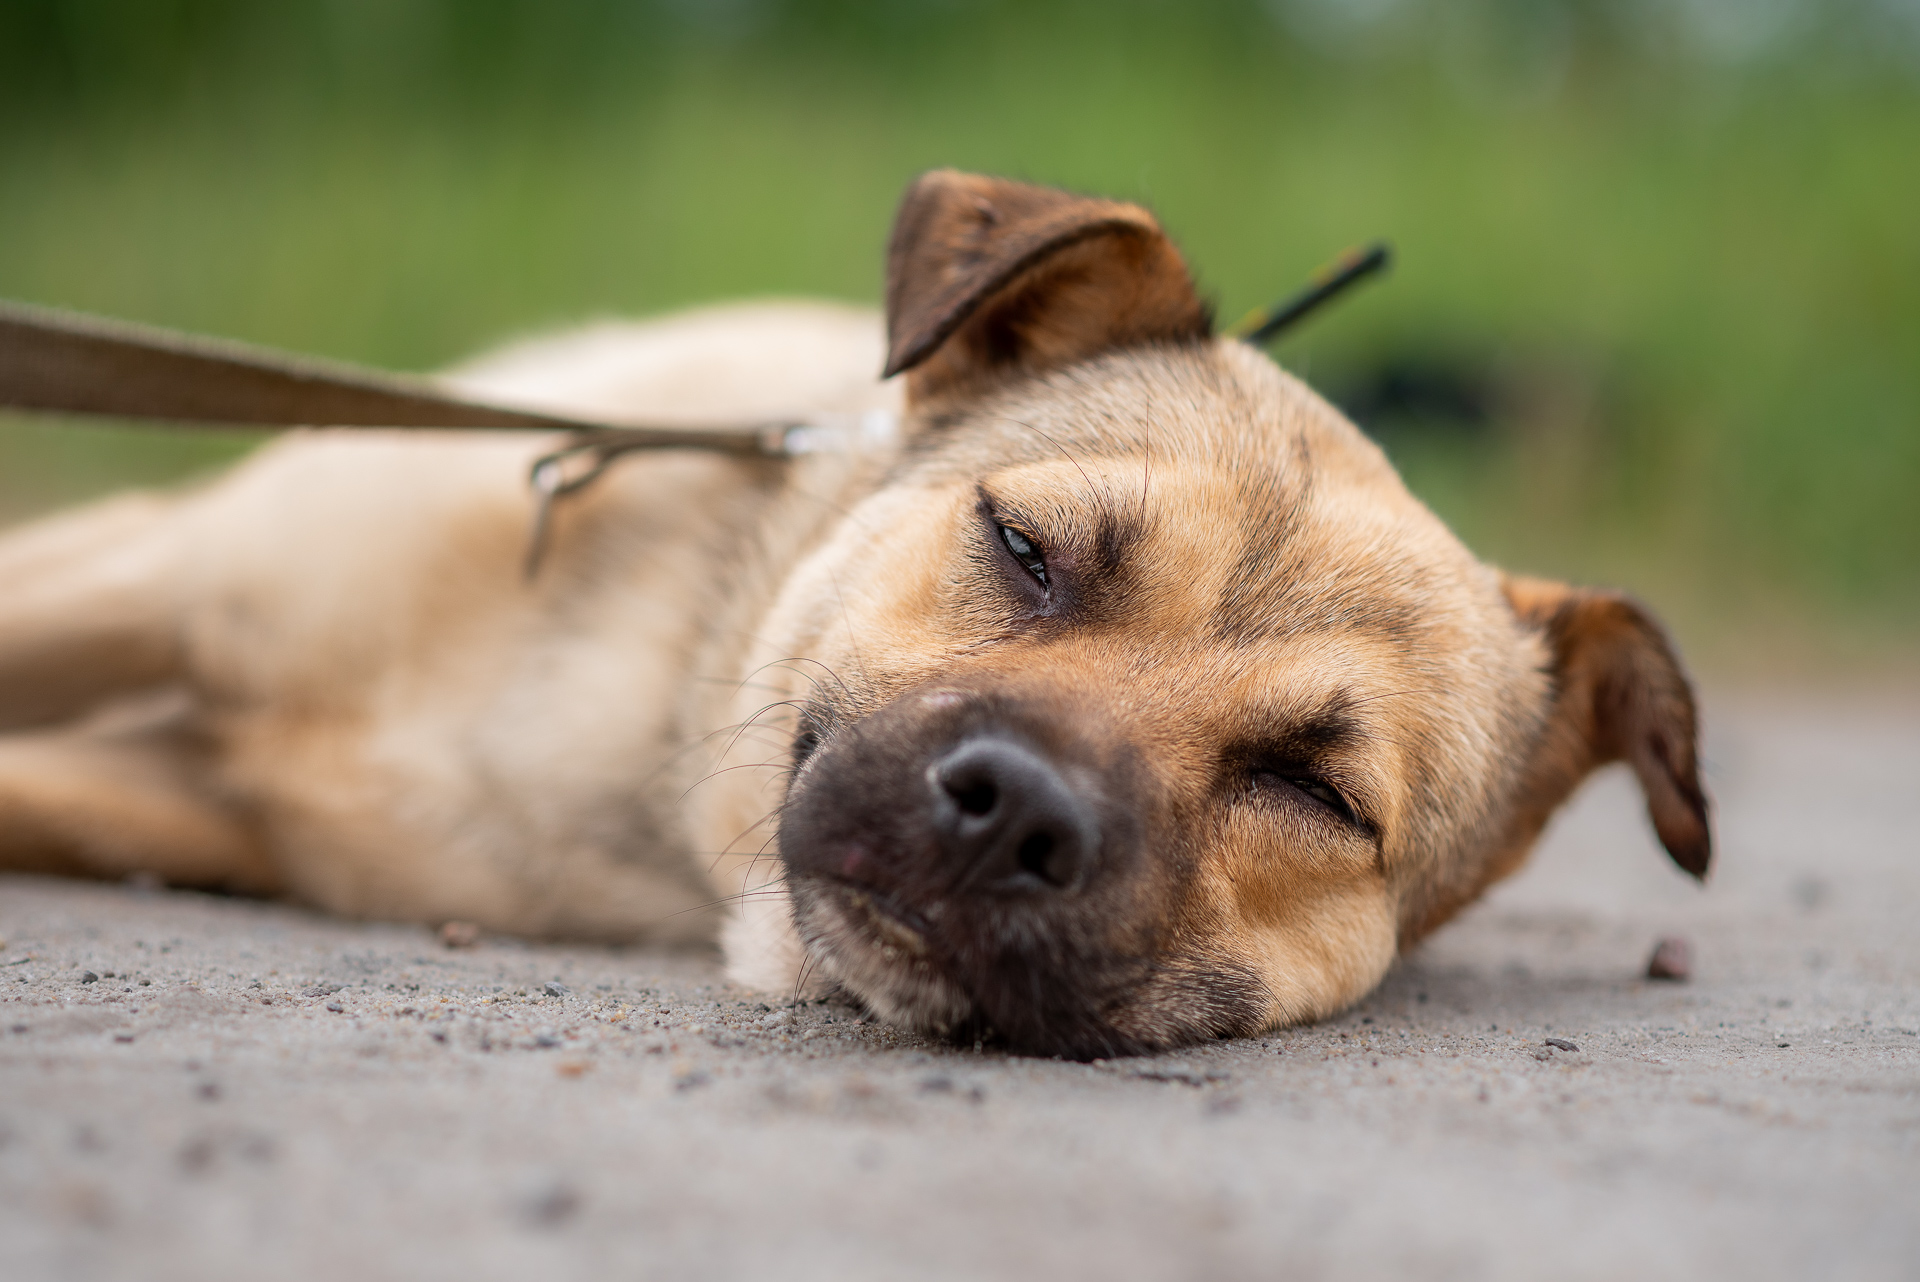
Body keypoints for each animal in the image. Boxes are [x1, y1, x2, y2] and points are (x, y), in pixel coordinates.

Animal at [0, 175, 1712, 1059]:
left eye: (1313, 787)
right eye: (1026, 546)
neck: (633, 728)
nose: (1010, 811)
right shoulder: (156, 569)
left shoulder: (193, 797)